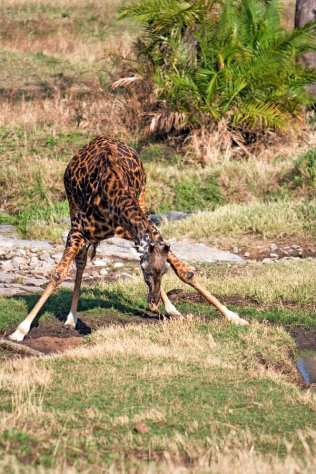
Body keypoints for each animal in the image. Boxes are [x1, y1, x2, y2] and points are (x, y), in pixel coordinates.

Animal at [8, 137, 248, 340]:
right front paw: (20, 330)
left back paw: (172, 309)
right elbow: (58, 274)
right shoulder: (78, 230)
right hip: (73, 207)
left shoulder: (141, 229)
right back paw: (71, 318)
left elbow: (186, 272)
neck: (112, 193)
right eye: (146, 272)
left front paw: (234, 317)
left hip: (142, 200)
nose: (152, 303)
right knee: (81, 261)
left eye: (164, 272)